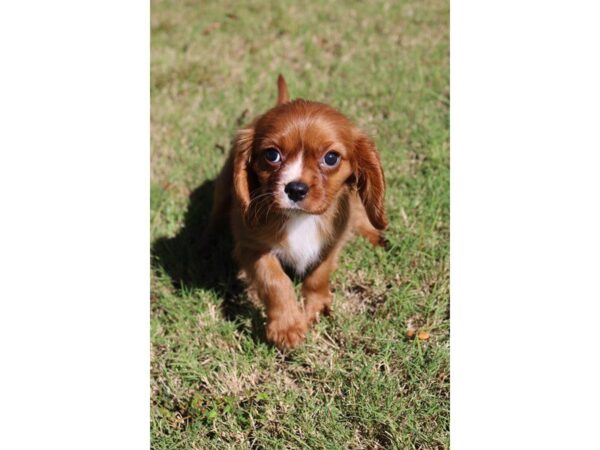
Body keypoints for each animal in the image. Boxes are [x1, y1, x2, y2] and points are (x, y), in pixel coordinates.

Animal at [204, 74, 386, 348]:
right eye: (272, 155)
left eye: (331, 158)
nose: (295, 189)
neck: (301, 219)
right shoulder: (251, 246)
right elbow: (276, 281)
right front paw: (287, 326)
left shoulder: (331, 242)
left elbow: (319, 274)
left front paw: (314, 307)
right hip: (225, 186)